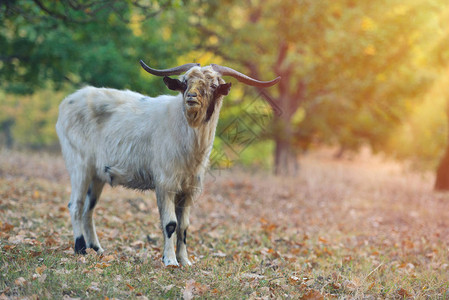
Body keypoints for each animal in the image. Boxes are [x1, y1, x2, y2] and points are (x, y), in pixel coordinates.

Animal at [56, 59, 280, 266]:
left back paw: (97, 249)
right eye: (185, 82)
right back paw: (80, 249)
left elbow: (184, 226)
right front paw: (170, 261)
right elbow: (170, 224)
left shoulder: (188, 190)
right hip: (79, 165)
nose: (191, 97)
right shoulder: (165, 184)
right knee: (75, 205)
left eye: (213, 85)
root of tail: (66, 103)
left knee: (89, 209)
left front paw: (185, 261)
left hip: (98, 176)